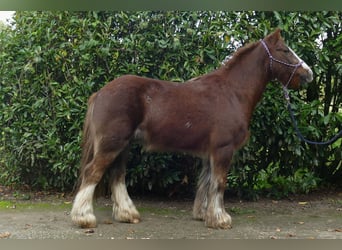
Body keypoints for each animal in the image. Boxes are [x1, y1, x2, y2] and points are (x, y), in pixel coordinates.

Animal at [71, 28, 314, 229]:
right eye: (285, 50)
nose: (308, 73)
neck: (232, 92)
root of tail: (100, 93)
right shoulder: (223, 149)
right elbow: (219, 183)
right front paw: (220, 219)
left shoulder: (210, 152)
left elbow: (206, 182)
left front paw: (204, 214)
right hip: (112, 144)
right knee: (93, 172)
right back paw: (84, 218)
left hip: (123, 146)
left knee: (117, 175)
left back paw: (127, 214)